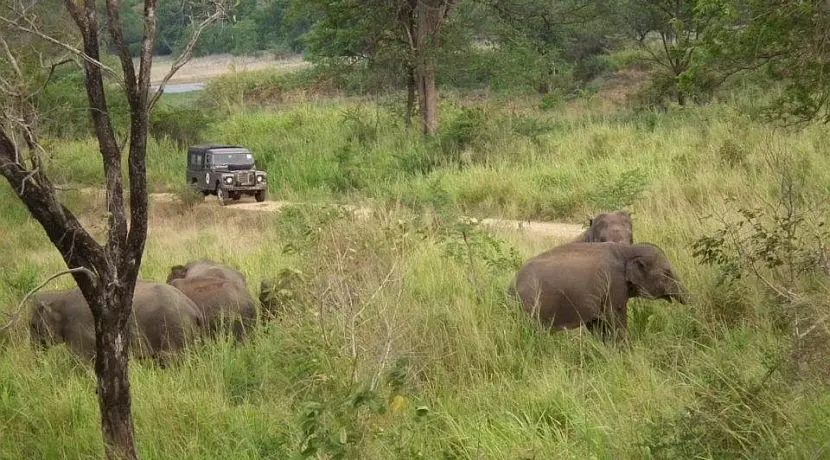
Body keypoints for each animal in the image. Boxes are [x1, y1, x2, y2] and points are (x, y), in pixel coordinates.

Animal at [29, 281, 203, 363]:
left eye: (32, 325)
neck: (60, 296)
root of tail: (195, 309)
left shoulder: (78, 328)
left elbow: (82, 361)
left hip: (174, 329)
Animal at [510, 242, 687, 340]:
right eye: (667, 273)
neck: (627, 250)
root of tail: (512, 285)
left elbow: (597, 323)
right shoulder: (614, 284)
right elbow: (615, 318)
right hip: (530, 306)